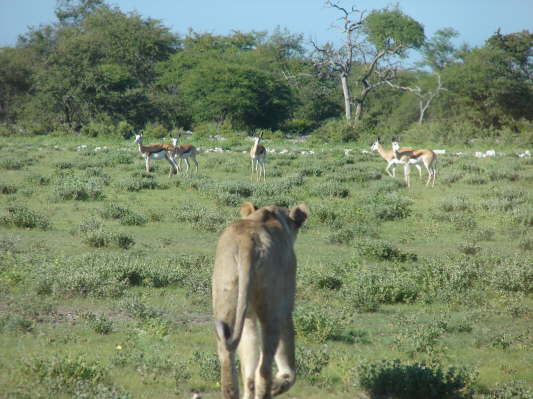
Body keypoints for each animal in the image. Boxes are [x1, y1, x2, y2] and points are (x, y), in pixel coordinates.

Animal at [212, 203, 310, 399]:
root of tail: (246, 242)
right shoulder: (285, 306)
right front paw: (281, 383)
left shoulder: (248, 314)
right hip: (271, 307)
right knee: (263, 369)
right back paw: (270, 388)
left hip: (226, 295)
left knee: (231, 361)